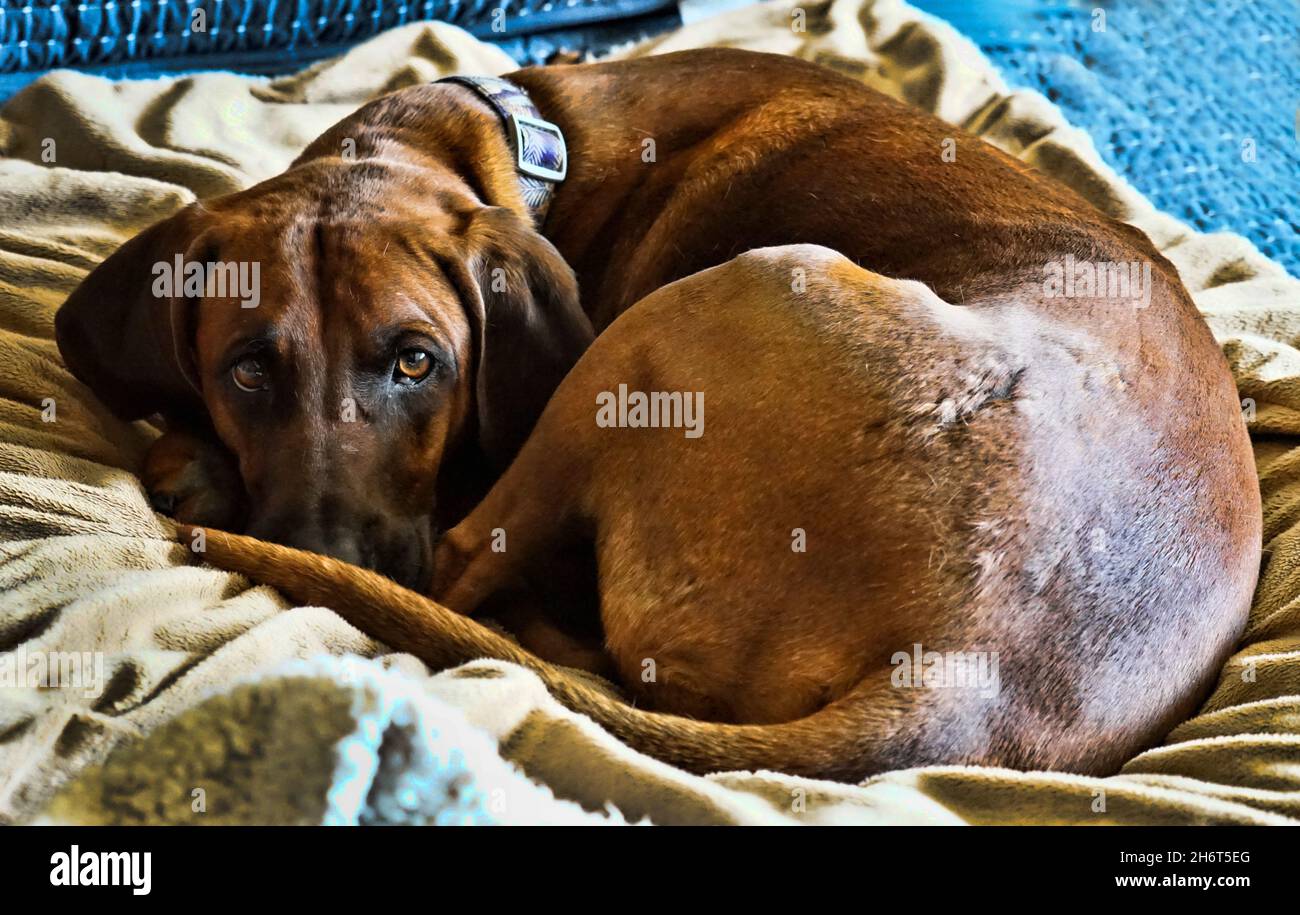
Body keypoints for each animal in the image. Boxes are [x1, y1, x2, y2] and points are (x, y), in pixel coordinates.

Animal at [58, 48, 1258, 779]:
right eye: (248, 373)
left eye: (417, 362)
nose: (324, 546)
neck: (507, 142)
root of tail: (962, 669)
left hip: (716, 299)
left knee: (464, 569)